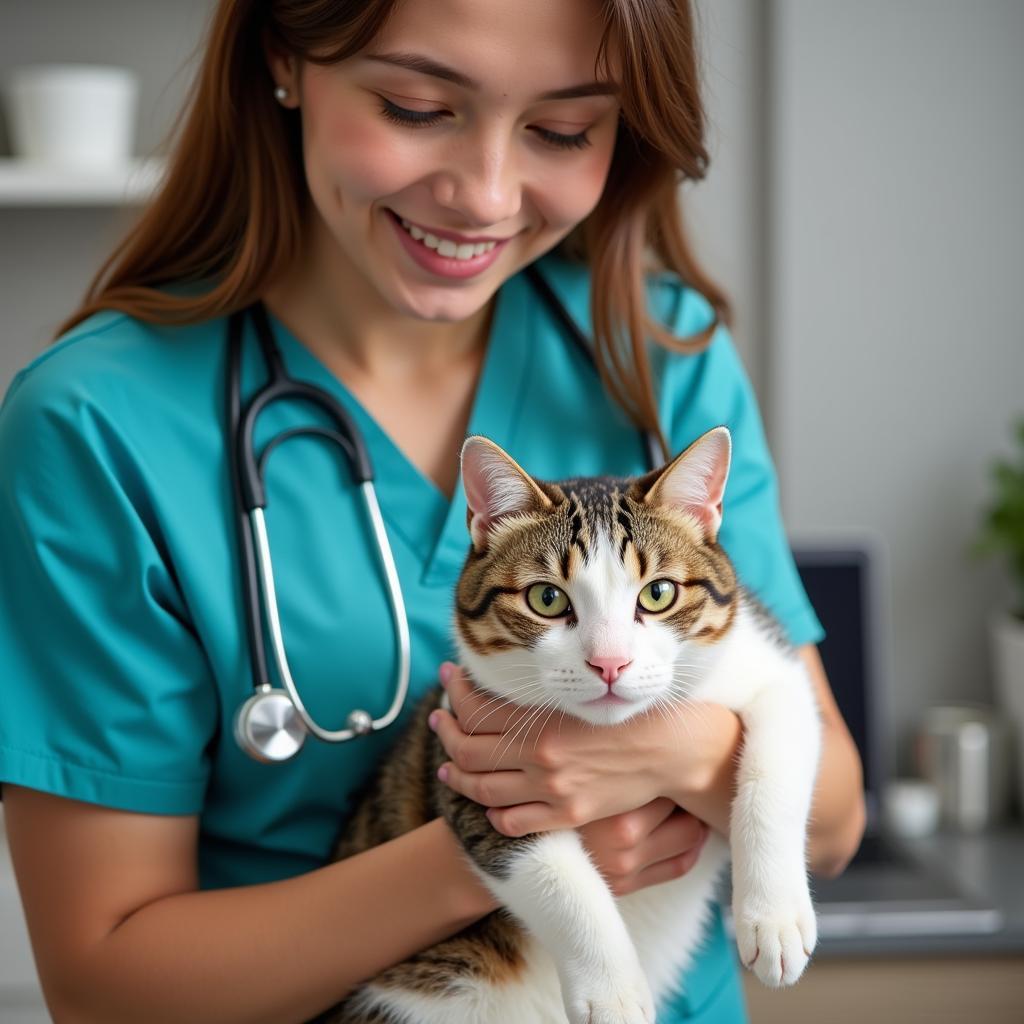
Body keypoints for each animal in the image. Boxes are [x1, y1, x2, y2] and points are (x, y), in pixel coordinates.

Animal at [327, 425, 823, 1024]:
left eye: (658, 593)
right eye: (546, 598)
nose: (610, 663)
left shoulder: (772, 668)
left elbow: (777, 766)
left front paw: (773, 918)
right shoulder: (468, 757)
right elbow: (551, 876)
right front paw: (612, 992)